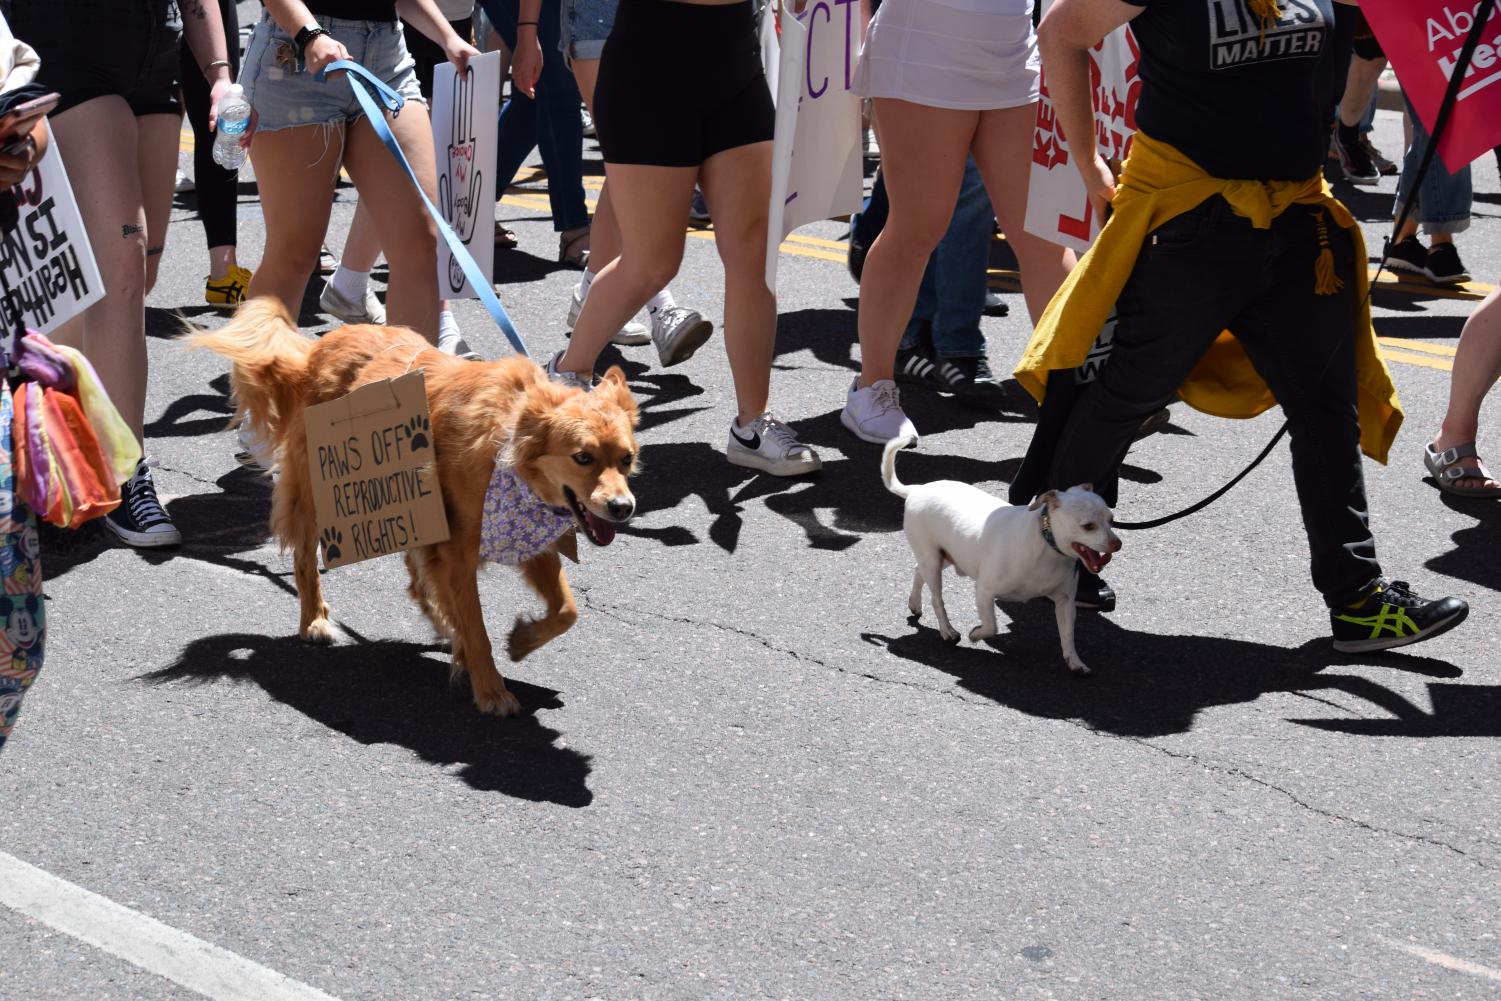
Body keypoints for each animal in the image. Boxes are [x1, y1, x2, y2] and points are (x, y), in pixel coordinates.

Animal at [184, 301, 636, 717]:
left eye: (627, 459)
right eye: (583, 458)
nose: (623, 508)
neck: (506, 446)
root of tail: (318, 350)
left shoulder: (527, 540)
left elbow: (566, 611)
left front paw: (521, 641)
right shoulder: (459, 553)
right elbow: (477, 628)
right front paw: (490, 690)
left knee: (419, 573)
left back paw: (440, 621)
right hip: (318, 494)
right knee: (304, 559)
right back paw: (314, 620)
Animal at [882, 435, 1122, 678]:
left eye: (1111, 521)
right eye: (1088, 526)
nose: (1117, 544)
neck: (1045, 546)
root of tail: (916, 490)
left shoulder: (1065, 602)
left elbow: (1067, 636)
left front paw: (1075, 662)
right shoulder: (984, 591)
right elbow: (991, 626)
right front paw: (975, 634)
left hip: (944, 557)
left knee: (918, 571)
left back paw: (915, 603)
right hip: (932, 559)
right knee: (936, 598)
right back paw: (947, 631)